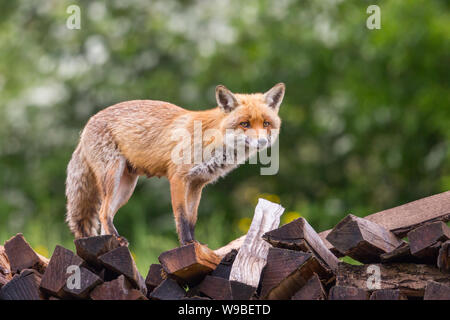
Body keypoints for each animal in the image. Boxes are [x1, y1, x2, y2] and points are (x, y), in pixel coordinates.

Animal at [65, 82, 284, 245]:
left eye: (266, 123)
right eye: (244, 124)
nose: (262, 142)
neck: (212, 140)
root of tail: (87, 124)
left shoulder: (197, 183)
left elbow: (192, 218)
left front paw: (197, 244)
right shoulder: (178, 178)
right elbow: (181, 216)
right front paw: (186, 244)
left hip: (126, 188)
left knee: (106, 215)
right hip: (113, 177)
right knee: (103, 213)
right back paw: (117, 238)